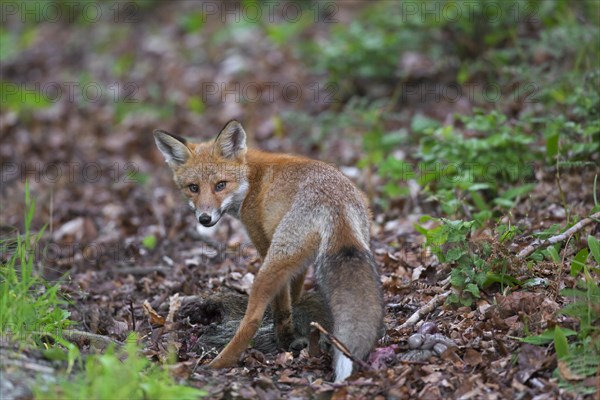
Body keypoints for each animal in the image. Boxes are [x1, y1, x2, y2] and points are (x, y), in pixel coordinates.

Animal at [152, 121, 382, 382]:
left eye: (220, 185)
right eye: (194, 188)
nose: (204, 218)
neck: (251, 180)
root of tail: (335, 203)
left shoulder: (263, 242)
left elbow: (281, 306)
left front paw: (284, 339)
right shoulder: (301, 264)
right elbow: (294, 295)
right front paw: (295, 331)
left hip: (271, 264)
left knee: (252, 319)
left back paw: (218, 363)